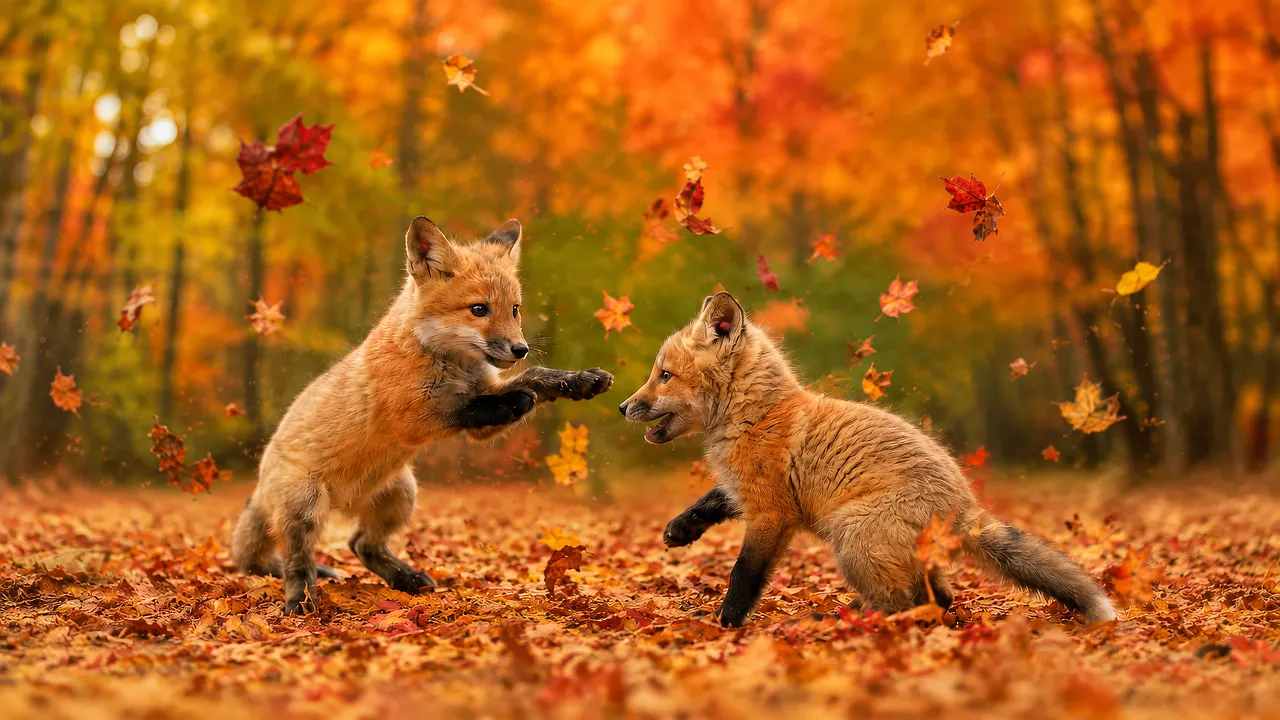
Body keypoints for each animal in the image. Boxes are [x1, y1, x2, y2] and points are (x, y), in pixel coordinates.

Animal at [232, 216, 613, 614]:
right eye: (479, 309)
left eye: (515, 309)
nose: (520, 348)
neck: (451, 364)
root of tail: (260, 483)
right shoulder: (413, 418)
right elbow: (472, 407)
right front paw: (517, 400)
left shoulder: (482, 406)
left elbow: (536, 377)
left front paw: (580, 381)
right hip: (305, 507)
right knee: (298, 561)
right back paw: (301, 601)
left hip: (401, 494)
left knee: (360, 544)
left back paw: (405, 577)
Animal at [618, 291, 1117, 628]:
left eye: (664, 376)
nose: (623, 406)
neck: (755, 413)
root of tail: (964, 504)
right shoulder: (751, 491)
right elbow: (712, 500)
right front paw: (682, 529)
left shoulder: (772, 514)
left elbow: (744, 574)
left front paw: (725, 623)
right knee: (941, 597)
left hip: (852, 536)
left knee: (912, 603)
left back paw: (843, 621)